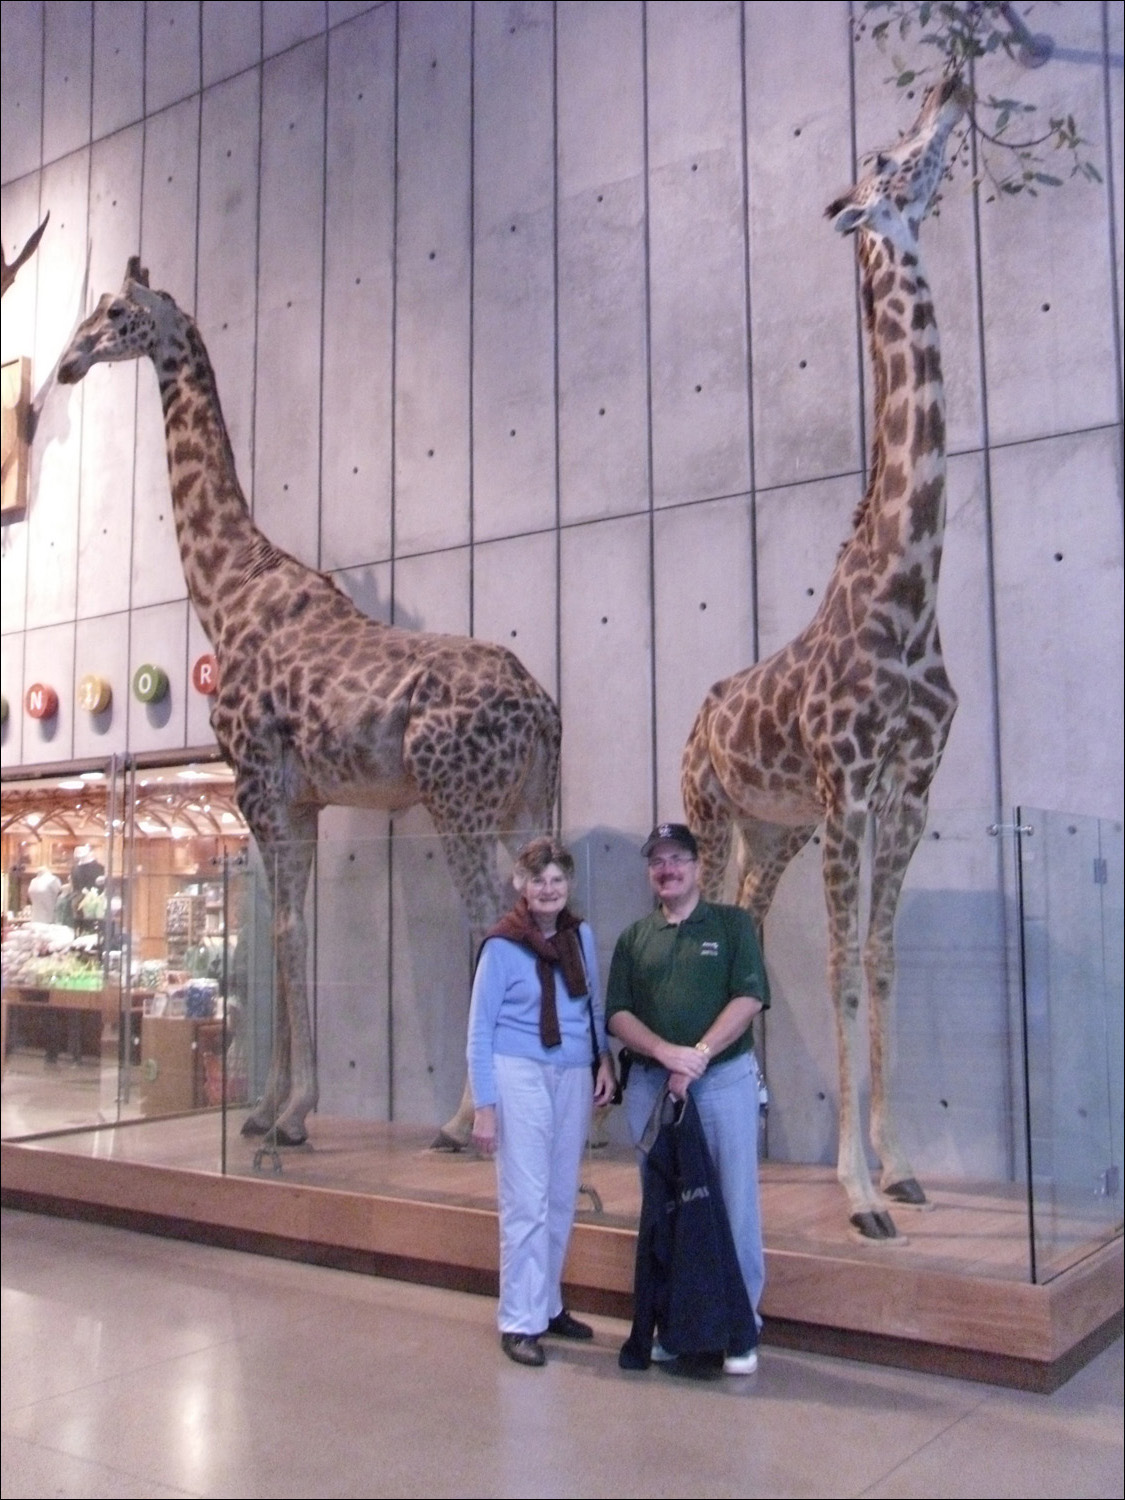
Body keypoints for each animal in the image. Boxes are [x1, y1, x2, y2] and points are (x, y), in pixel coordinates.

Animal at [57, 261, 561, 1146]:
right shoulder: (304, 800)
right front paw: (270, 1110)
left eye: (114, 312)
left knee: (488, 915)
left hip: (456, 801)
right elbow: (288, 931)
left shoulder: (257, 784)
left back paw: (463, 1121)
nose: (66, 364)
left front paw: (287, 1114)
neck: (225, 590)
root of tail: (539, 707)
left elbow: (286, 933)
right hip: (525, 803)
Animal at [678, 76, 972, 1236]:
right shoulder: (850, 783)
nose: (951, 83)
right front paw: (858, 1192)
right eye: (890, 156)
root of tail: (703, 709)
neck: (911, 588)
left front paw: (899, 1167)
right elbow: (846, 963)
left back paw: (746, 1120)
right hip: (717, 813)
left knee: (748, 929)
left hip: (778, 832)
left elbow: (882, 962)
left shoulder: (909, 788)